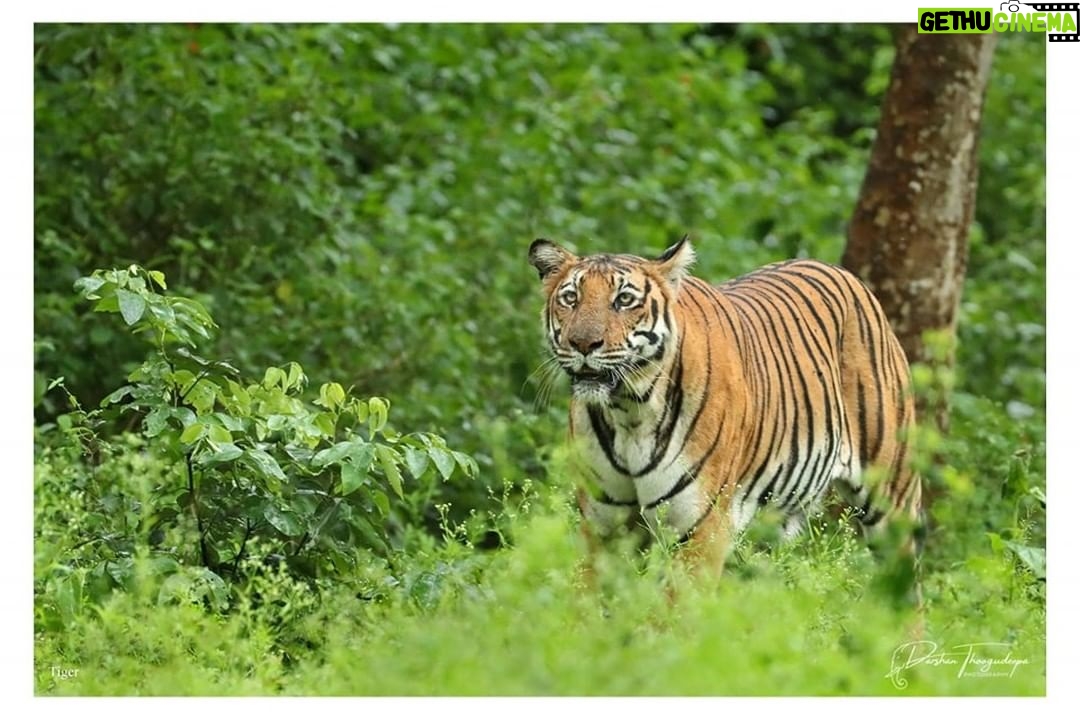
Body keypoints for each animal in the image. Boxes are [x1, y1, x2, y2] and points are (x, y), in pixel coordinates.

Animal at [528, 236, 923, 575]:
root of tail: (845, 274)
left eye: (624, 300)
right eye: (571, 298)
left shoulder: (701, 526)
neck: (629, 411)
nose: (583, 343)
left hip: (891, 499)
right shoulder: (604, 527)